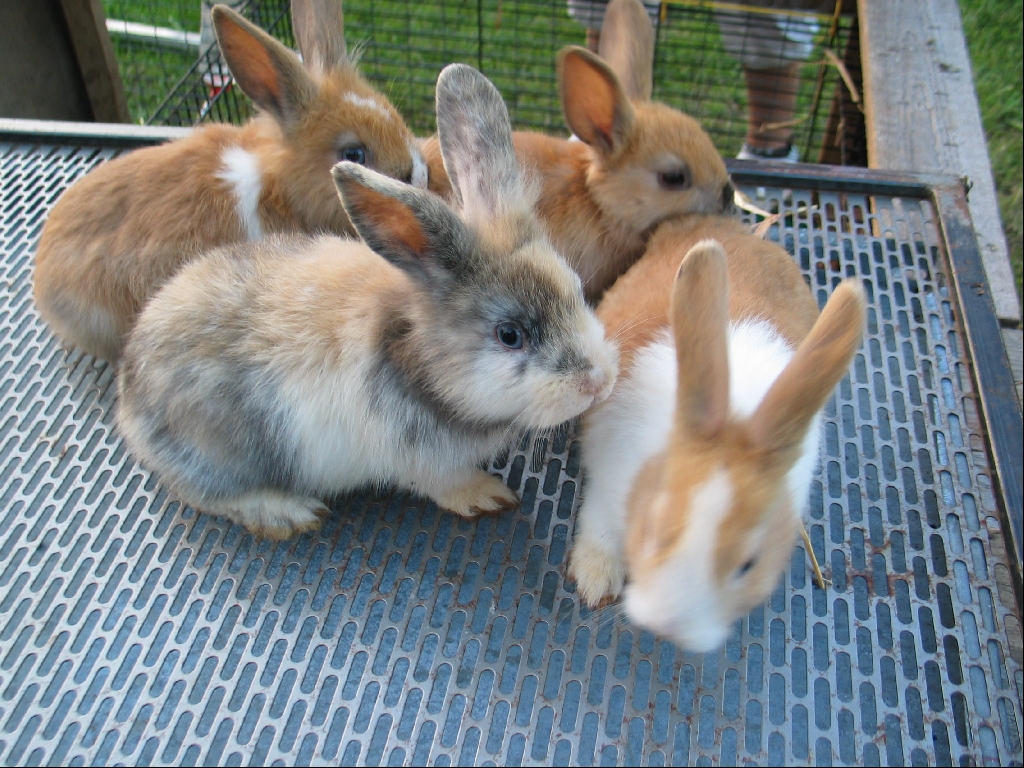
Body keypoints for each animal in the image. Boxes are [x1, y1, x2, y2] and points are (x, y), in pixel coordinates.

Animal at [116, 64, 618, 540]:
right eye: (510, 335)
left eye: (576, 289)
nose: (599, 381)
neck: (417, 355)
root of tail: (129, 388)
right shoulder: (414, 459)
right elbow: (443, 482)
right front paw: (487, 496)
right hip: (217, 451)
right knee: (201, 492)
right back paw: (285, 511)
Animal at [569, 215, 864, 651]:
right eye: (656, 528)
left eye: (747, 565)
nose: (668, 626)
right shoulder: (606, 477)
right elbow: (598, 525)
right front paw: (596, 579)